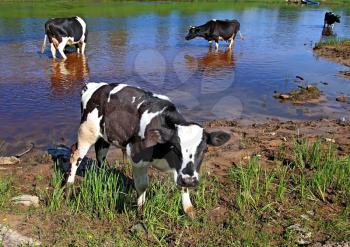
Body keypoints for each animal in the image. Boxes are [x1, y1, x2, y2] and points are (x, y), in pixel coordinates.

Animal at [66, 82, 231, 216]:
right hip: (86, 132)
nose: (190, 181)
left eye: (205, 150)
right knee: (76, 154)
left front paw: (188, 210)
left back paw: (102, 177)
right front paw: (141, 208)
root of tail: (94, 86)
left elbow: (182, 186)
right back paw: (69, 184)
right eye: (175, 148)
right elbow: (143, 184)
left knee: (100, 154)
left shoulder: (182, 171)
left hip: (104, 135)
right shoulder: (136, 155)